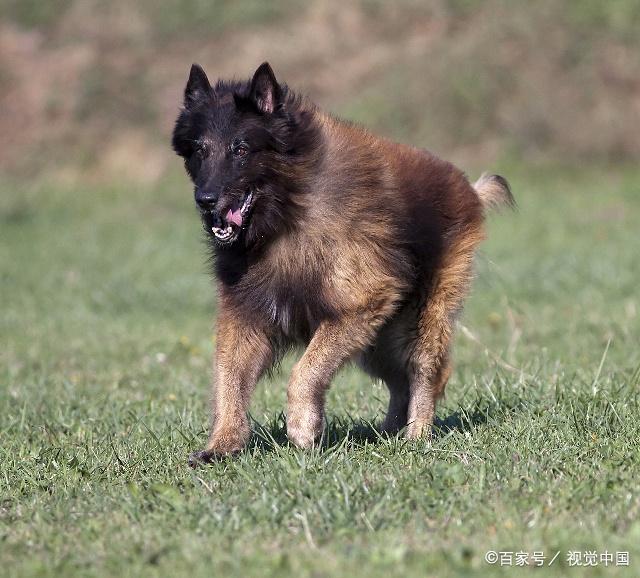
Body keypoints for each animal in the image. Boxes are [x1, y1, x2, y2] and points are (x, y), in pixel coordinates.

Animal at [172, 62, 512, 464]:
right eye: (200, 150)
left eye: (240, 149)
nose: (206, 199)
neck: (289, 211)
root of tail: (467, 187)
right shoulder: (245, 314)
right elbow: (229, 380)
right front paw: (222, 445)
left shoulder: (361, 303)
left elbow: (304, 372)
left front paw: (302, 429)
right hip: (380, 341)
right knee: (399, 382)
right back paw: (388, 434)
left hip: (420, 322)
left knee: (425, 374)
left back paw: (416, 437)